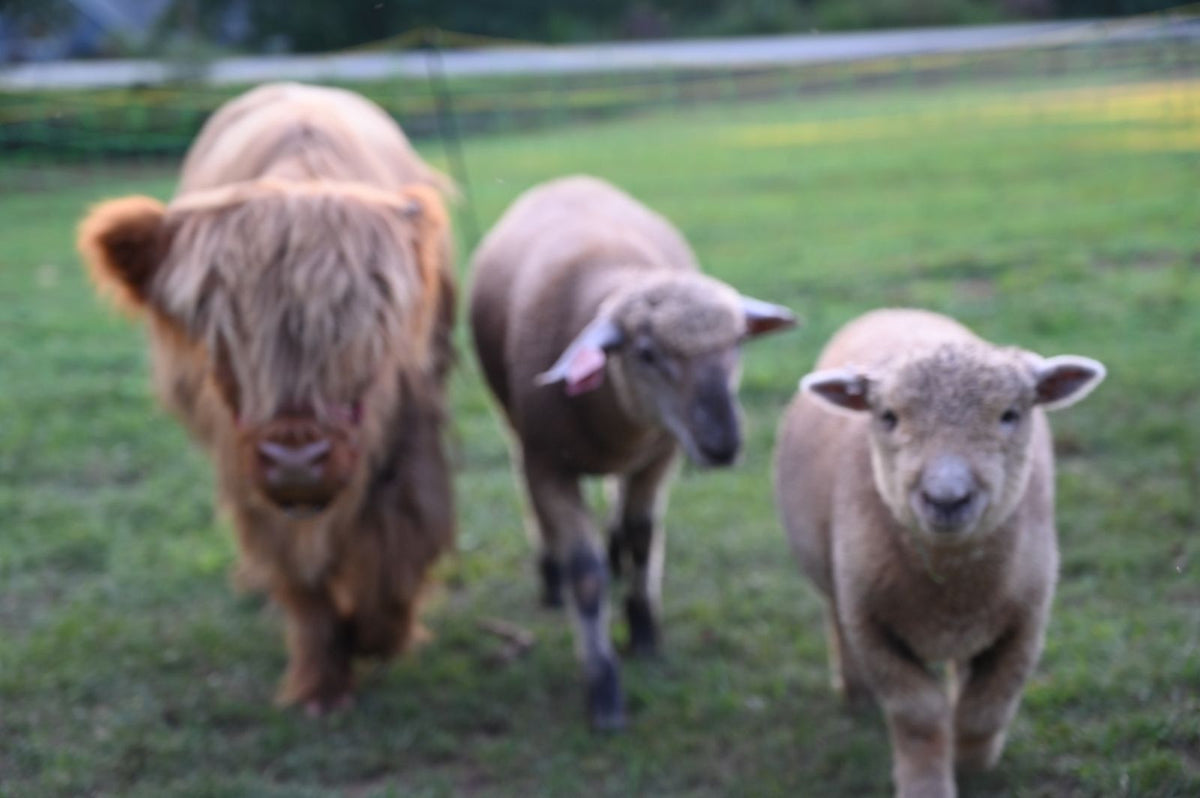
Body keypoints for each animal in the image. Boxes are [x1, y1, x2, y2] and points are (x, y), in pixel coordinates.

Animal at [468, 175, 796, 729]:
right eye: (646, 353)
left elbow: (642, 536)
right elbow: (585, 574)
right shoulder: (547, 463)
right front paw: (603, 685)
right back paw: (550, 574)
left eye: (737, 341)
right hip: (512, 423)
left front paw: (644, 632)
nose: (724, 443)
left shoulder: (659, 455)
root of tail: (569, 179)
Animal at [773, 308, 1105, 797]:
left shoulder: (1026, 622)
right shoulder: (870, 623)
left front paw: (971, 762)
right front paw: (927, 782)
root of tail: (894, 311)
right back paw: (855, 693)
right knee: (835, 617)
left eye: (1010, 414)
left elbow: (986, 707)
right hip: (835, 579)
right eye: (888, 416)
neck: (950, 584)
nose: (947, 498)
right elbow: (919, 715)